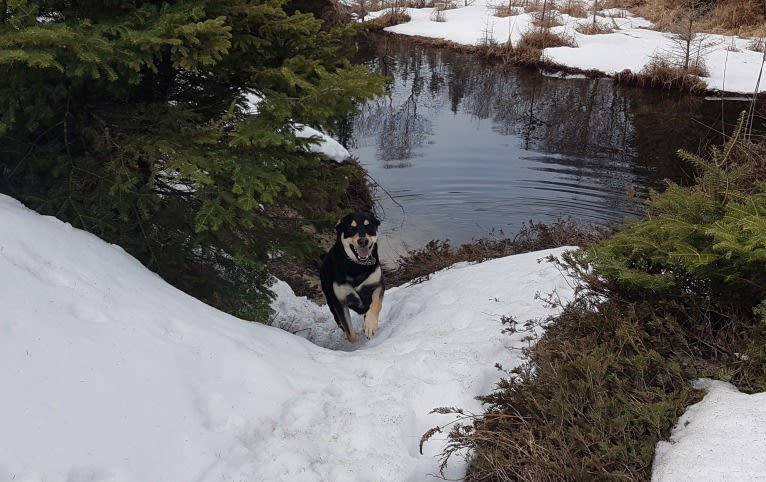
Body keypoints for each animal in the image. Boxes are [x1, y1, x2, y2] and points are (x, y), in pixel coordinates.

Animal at [320, 212, 388, 342]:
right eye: (351, 228)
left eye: (368, 226)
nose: (363, 241)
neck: (356, 266)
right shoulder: (340, 302)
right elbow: (350, 333)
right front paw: (355, 339)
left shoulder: (378, 285)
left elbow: (376, 305)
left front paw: (370, 325)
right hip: (331, 303)